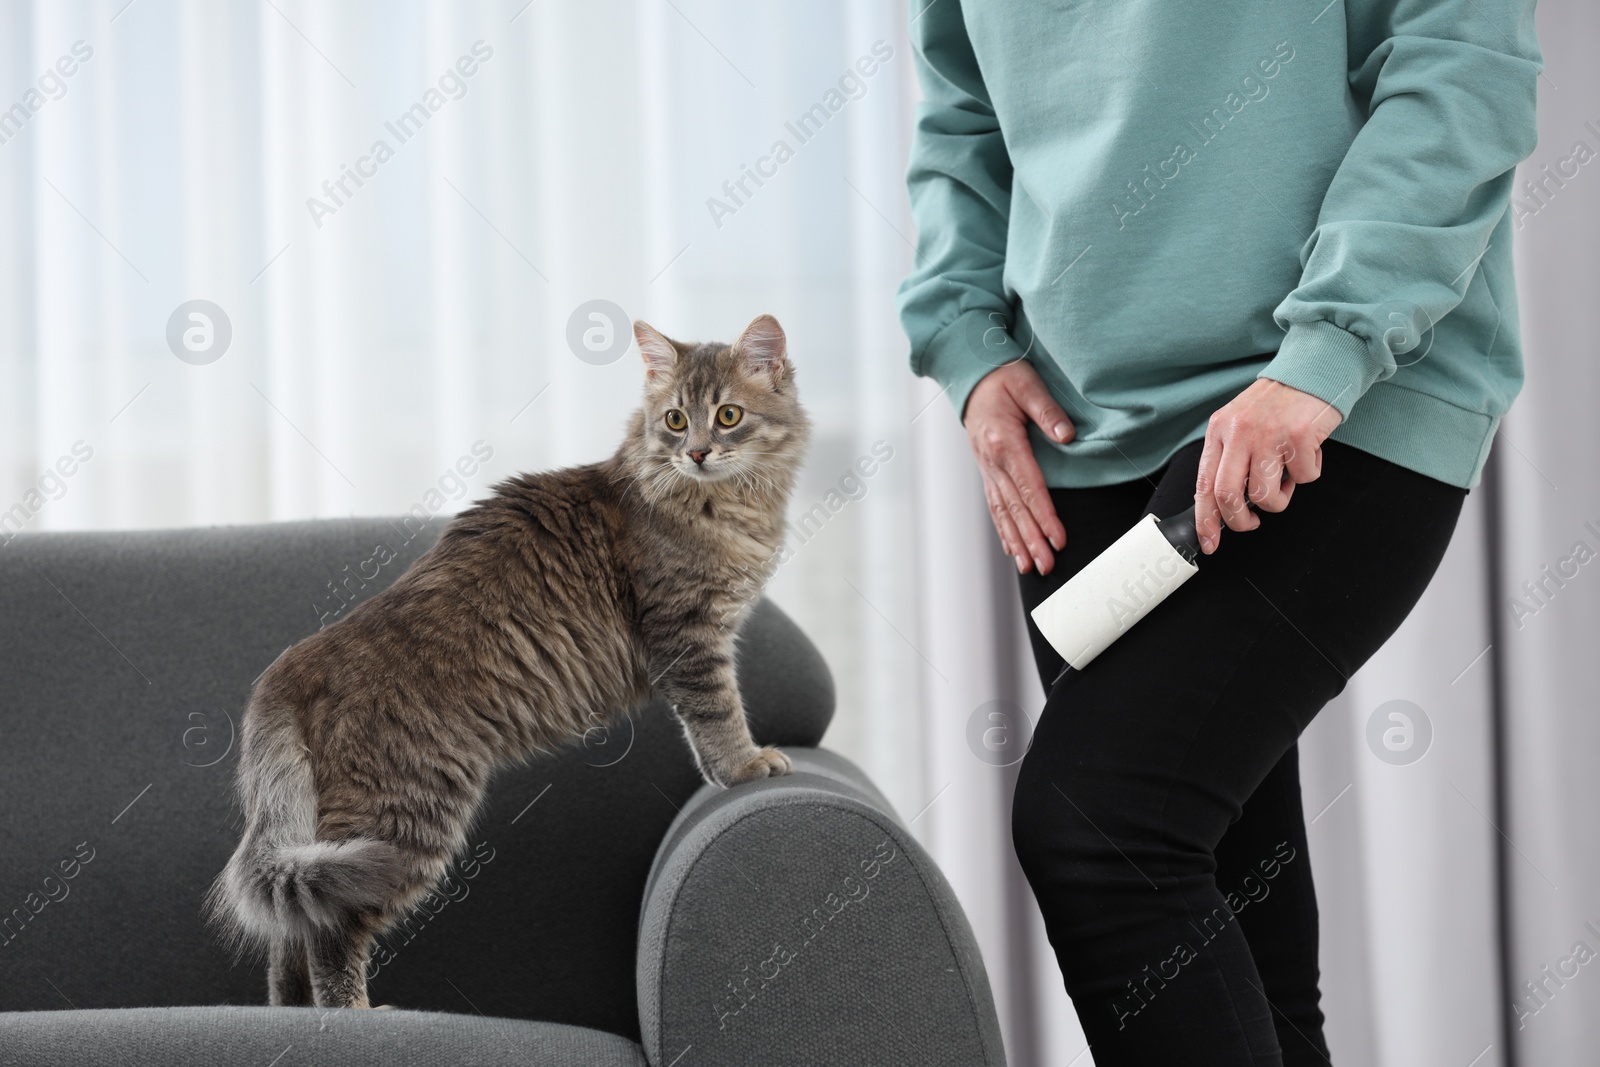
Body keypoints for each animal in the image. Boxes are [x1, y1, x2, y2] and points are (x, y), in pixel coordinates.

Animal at [206, 315, 812, 1011]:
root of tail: (295, 664)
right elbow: (719, 716)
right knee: (329, 928)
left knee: (289, 931)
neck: (724, 503)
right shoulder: (687, 635)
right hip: (403, 817)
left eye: (728, 415)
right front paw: (743, 767)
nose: (697, 453)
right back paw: (354, 1015)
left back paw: (294, 1015)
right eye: (677, 420)